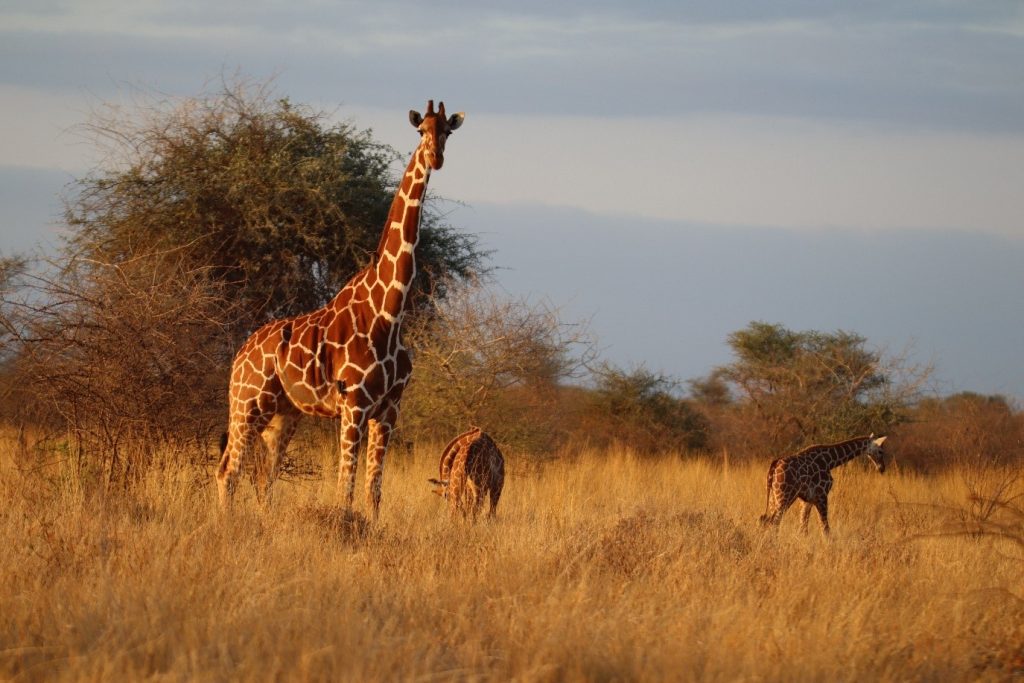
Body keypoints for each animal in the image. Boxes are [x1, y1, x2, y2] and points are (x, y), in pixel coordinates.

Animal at [220, 100, 468, 518]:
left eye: (448, 131)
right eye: (421, 131)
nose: (436, 157)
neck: (389, 313)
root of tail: (239, 355)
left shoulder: (388, 409)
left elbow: (373, 491)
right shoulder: (353, 405)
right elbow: (345, 489)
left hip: (283, 414)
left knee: (263, 478)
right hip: (247, 405)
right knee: (229, 471)